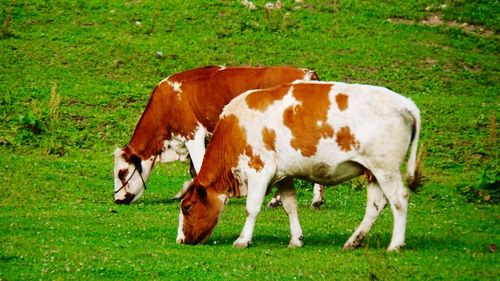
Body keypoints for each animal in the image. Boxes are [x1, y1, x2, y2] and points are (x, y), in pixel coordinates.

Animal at [113, 65, 324, 206]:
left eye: (122, 173)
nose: (116, 199)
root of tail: (307, 72)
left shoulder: (193, 132)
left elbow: (199, 166)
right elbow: (194, 170)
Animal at [178, 80, 420, 250]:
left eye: (187, 207)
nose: (181, 239)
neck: (236, 127)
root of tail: (406, 103)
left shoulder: (259, 169)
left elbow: (252, 207)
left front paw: (243, 240)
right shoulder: (283, 174)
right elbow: (290, 205)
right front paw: (296, 239)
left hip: (386, 168)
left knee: (399, 200)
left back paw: (395, 244)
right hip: (373, 171)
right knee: (375, 205)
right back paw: (353, 241)